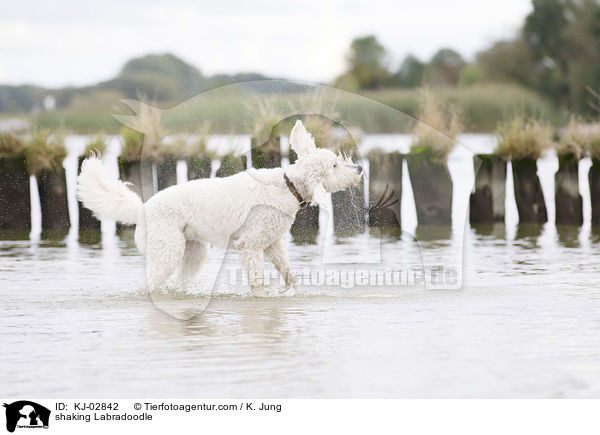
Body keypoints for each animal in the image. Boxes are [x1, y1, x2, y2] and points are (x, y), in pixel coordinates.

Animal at [78, 119, 360, 296]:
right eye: (335, 166)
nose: (358, 169)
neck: (286, 186)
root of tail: (141, 209)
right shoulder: (250, 246)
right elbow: (257, 282)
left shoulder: (272, 245)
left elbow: (290, 275)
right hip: (166, 252)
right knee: (147, 286)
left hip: (193, 252)